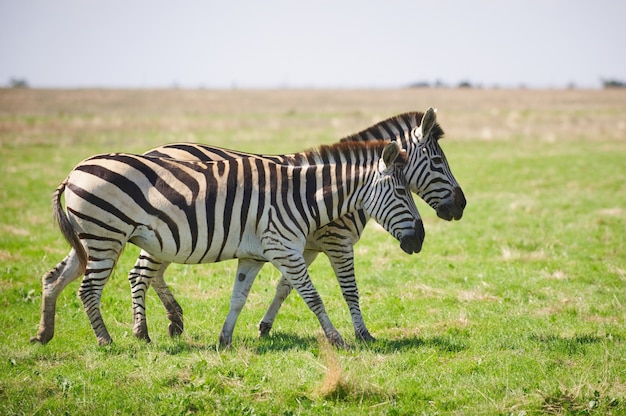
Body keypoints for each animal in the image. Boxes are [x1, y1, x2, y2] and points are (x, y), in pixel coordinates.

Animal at [31, 141, 422, 346]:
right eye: (402, 192)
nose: (419, 240)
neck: (301, 196)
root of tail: (74, 170)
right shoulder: (284, 248)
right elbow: (313, 296)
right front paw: (338, 338)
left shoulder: (254, 255)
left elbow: (238, 297)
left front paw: (225, 338)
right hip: (105, 237)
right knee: (89, 289)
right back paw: (107, 342)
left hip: (89, 237)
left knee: (55, 278)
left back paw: (44, 334)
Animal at [130, 106, 464, 344]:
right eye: (438, 162)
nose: (461, 206)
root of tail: (152, 151)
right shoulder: (336, 242)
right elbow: (349, 290)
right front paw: (363, 334)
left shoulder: (306, 247)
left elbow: (285, 287)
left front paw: (265, 326)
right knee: (142, 273)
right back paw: (149, 328)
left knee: (154, 273)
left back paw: (174, 320)